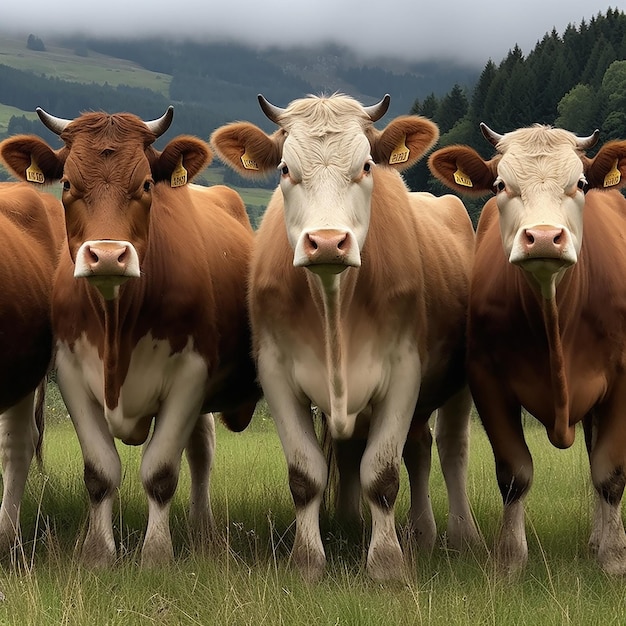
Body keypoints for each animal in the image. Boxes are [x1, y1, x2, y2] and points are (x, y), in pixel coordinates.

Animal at [0, 107, 260, 564]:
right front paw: (97, 553)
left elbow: (161, 472)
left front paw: (155, 554)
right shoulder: (71, 369)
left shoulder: (191, 373)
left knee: (202, 451)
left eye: (145, 185)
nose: (107, 256)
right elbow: (100, 471)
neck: (117, 324)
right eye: (67, 184)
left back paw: (203, 531)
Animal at [210, 94, 478, 580]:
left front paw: (387, 564)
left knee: (451, 450)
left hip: (460, 383)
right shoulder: (275, 372)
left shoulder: (405, 370)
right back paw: (379, 528)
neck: (333, 304)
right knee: (407, 449)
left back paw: (462, 537)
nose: (328, 242)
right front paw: (307, 561)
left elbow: (383, 474)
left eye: (367, 165)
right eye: (285, 169)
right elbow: (305, 474)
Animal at [428, 123, 626, 576]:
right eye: (501, 184)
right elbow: (515, 472)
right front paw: (510, 560)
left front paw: (613, 559)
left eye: (581, 183)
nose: (544, 238)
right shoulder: (487, 379)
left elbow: (610, 472)